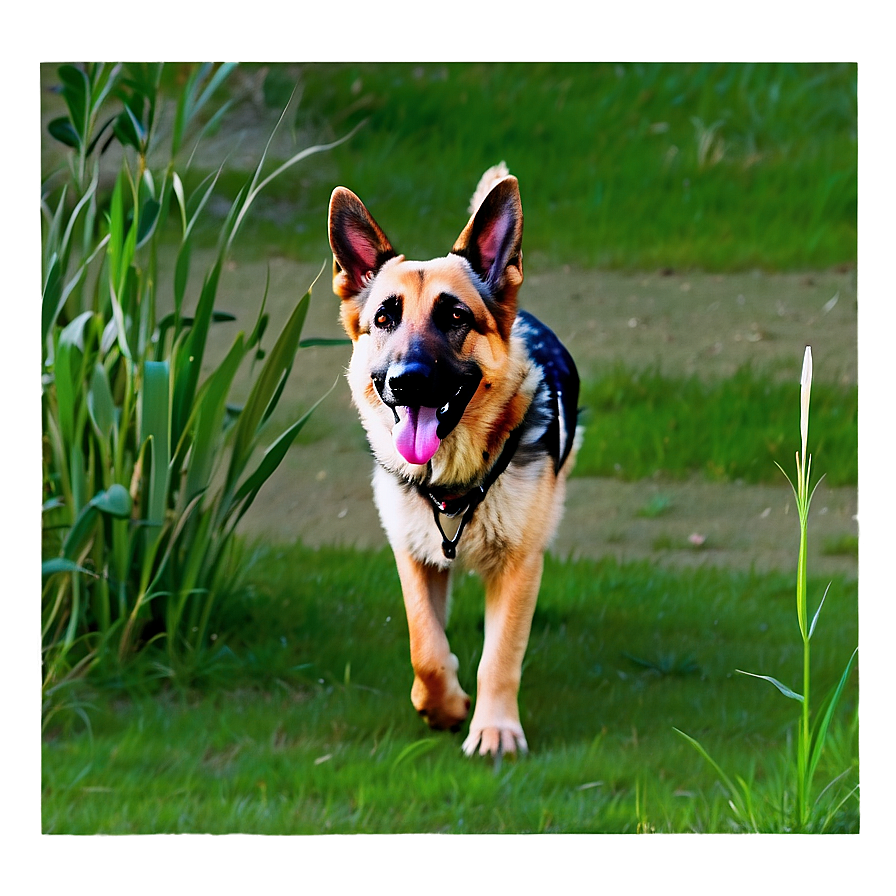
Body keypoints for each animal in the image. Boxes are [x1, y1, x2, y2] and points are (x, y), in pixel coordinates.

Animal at [328, 163, 580, 756]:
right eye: (384, 318)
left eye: (455, 317)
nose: (407, 381)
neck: (454, 478)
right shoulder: (413, 552)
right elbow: (426, 648)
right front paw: (443, 707)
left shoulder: (518, 566)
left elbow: (500, 656)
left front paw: (494, 729)